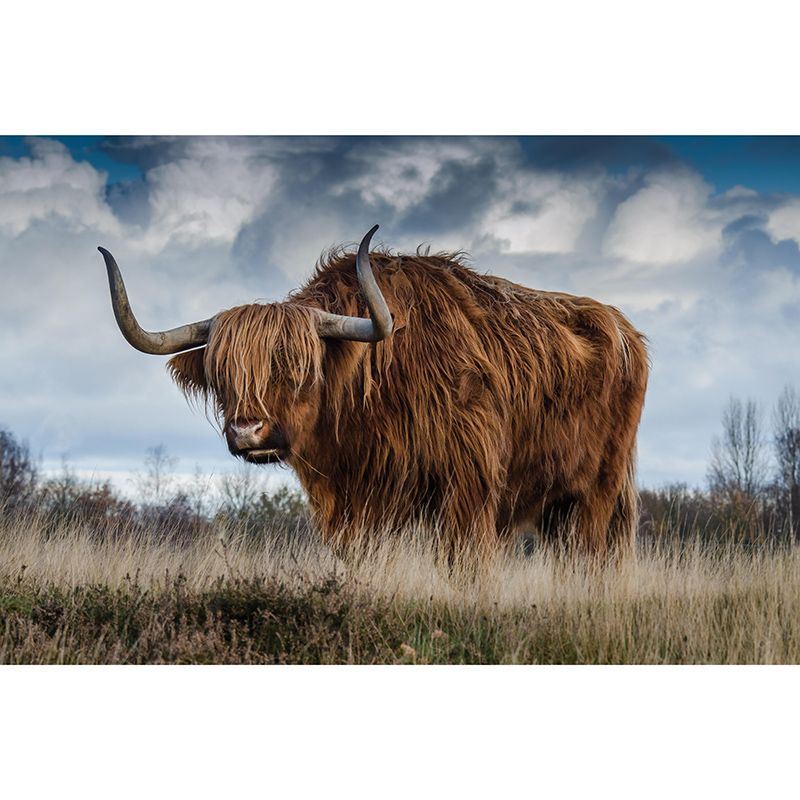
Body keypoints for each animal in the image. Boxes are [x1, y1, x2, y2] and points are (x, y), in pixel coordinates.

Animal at [98, 225, 649, 558]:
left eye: (298, 367)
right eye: (222, 375)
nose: (247, 431)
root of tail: (624, 328)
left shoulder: (468, 487)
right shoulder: (352, 503)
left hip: (597, 491)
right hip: (558, 503)